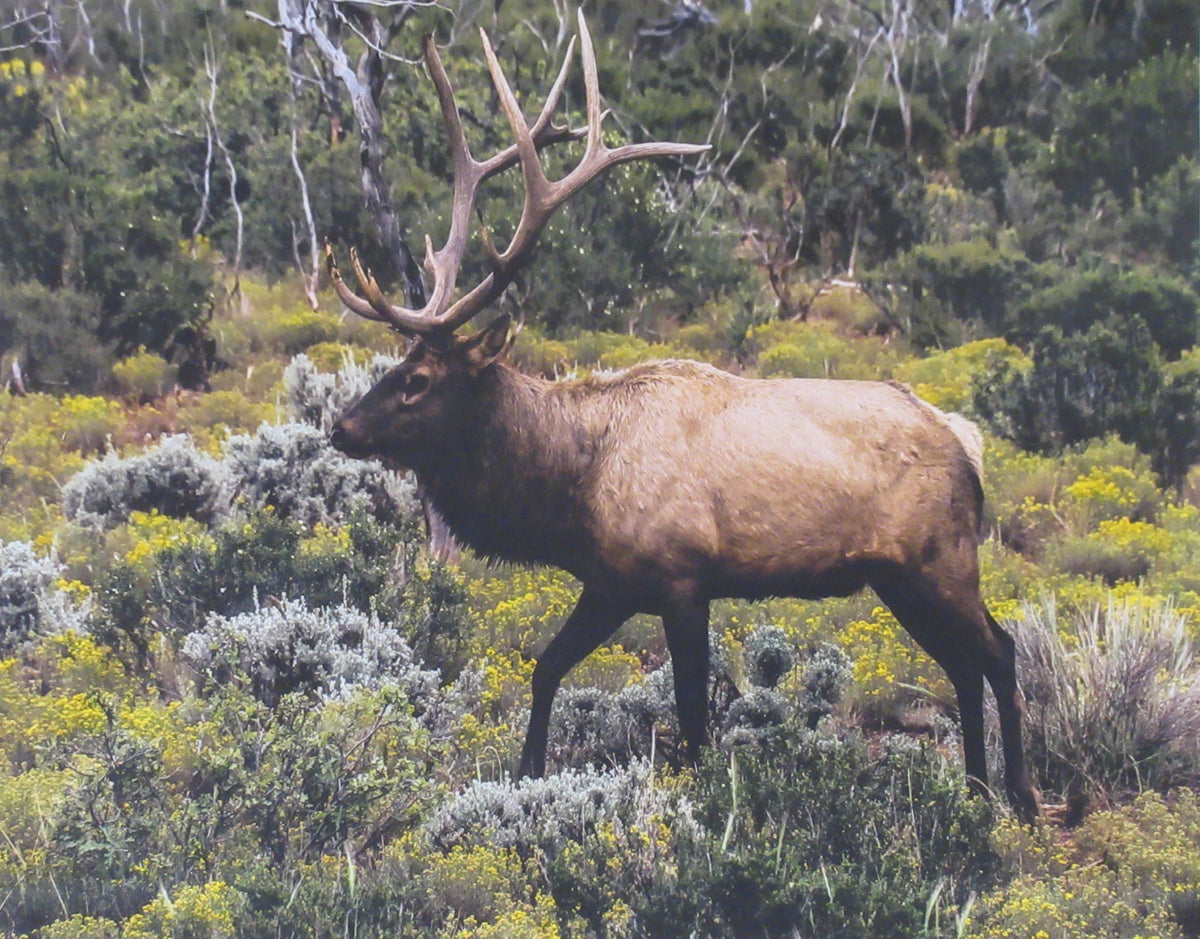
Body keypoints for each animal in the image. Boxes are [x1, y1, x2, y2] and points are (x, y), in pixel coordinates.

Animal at [326, 14, 1040, 821]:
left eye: (417, 380)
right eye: (393, 366)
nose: (341, 427)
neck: (571, 484)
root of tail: (970, 443)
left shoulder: (681, 575)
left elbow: (695, 719)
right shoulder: (610, 581)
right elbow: (546, 668)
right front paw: (528, 772)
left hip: (941, 560)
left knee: (999, 650)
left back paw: (1019, 796)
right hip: (901, 578)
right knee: (964, 664)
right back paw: (976, 790)